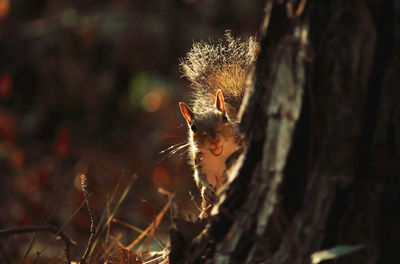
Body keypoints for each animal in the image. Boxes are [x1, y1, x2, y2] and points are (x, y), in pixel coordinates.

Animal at [179, 32, 260, 217]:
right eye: (193, 127)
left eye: (224, 118)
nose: (214, 140)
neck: (218, 155)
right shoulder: (201, 163)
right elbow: (199, 178)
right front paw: (206, 191)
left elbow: (239, 154)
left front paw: (229, 164)